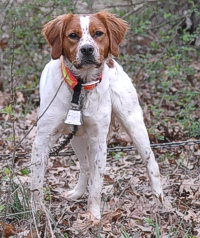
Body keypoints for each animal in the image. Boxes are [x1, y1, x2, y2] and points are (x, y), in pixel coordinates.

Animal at [30, 10, 163, 219]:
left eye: (98, 33)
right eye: (73, 35)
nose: (87, 49)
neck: (80, 88)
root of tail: (112, 61)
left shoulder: (98, 141)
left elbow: (96, 185)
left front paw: (93, 216)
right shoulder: (43, 139)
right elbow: (36, 182)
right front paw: (38, 213)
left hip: (134, 125)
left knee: (152, 163)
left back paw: (161, 202)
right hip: (76, 137)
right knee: (85, 167)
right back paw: (77, 193)